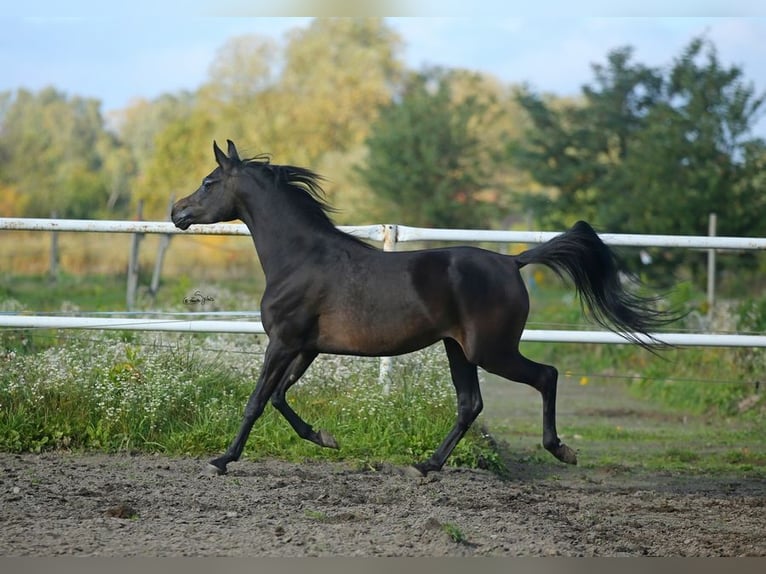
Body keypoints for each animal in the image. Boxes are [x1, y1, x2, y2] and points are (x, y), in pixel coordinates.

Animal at [172, 140, 680, 476]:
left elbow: (257, 400)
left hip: (491, 351)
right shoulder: (306, 346)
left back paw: (560, 450)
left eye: (208, 182)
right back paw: (427, 465)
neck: (301, 258)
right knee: (470, 404)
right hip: (459, 350)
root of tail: (512, 261)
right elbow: (278, 397)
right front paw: (326, 438)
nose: (176, 212)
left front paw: (222, 460)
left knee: (546, 376)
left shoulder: (282, 342)